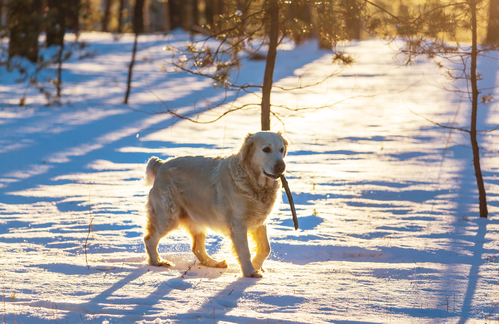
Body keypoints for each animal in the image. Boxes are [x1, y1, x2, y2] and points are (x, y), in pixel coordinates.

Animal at [143, 130, 290, 278]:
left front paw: (256, 265)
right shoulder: (238, 224)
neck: (254, 183)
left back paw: (214, 263)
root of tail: (162, 165)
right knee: (149, 239)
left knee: (197, 248)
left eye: (281, 150)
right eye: (266, 149)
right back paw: (157, 261)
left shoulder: (260, 221)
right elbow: (245, 251)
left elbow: (266, 248)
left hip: (197, 219)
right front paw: (249, 272)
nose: (281, 166)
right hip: (167, 218)